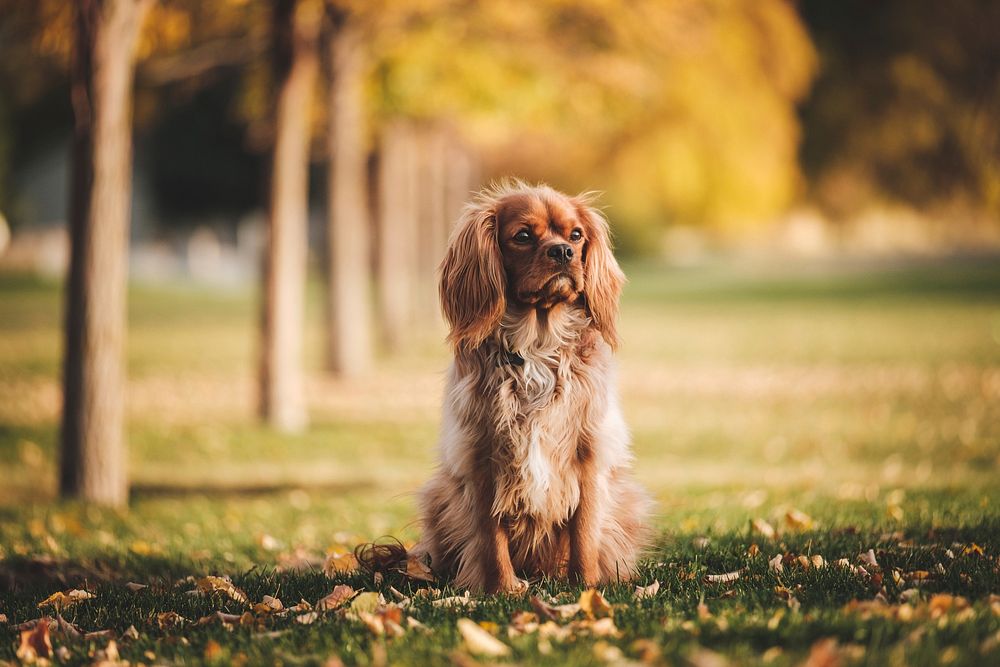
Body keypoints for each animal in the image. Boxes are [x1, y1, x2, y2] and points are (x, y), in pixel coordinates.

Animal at [412, 180, 652, 592]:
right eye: (523, 236)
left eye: (576, 235)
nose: (563, 251)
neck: (537, 347)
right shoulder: (482, 457)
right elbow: (491, 537)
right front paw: (502, 590)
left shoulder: (588, 454)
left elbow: (584, 530)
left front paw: (586, 588)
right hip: (438, 495)